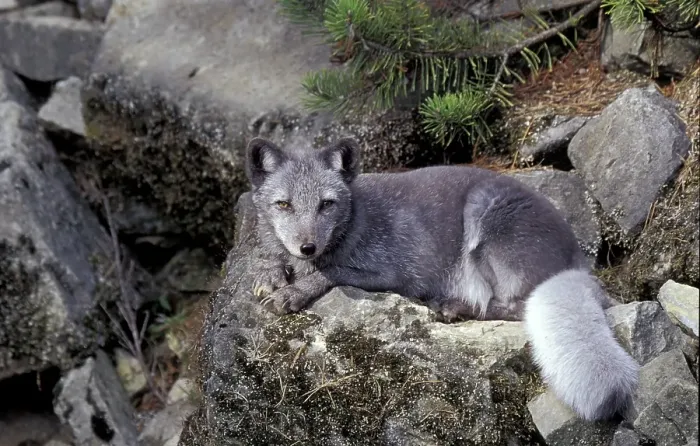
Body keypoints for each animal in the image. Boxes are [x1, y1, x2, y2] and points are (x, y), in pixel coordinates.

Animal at [244, 136, 639, 422]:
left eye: (327, 204)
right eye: (283, 205)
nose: (307, 246)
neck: (355, 221)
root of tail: (578, 260)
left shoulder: (392, 273)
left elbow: (331, 273)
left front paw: (294, 291)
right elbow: (271, 259)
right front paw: (270, 272)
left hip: (485, 216)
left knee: (515, 305)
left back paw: (454, 305)